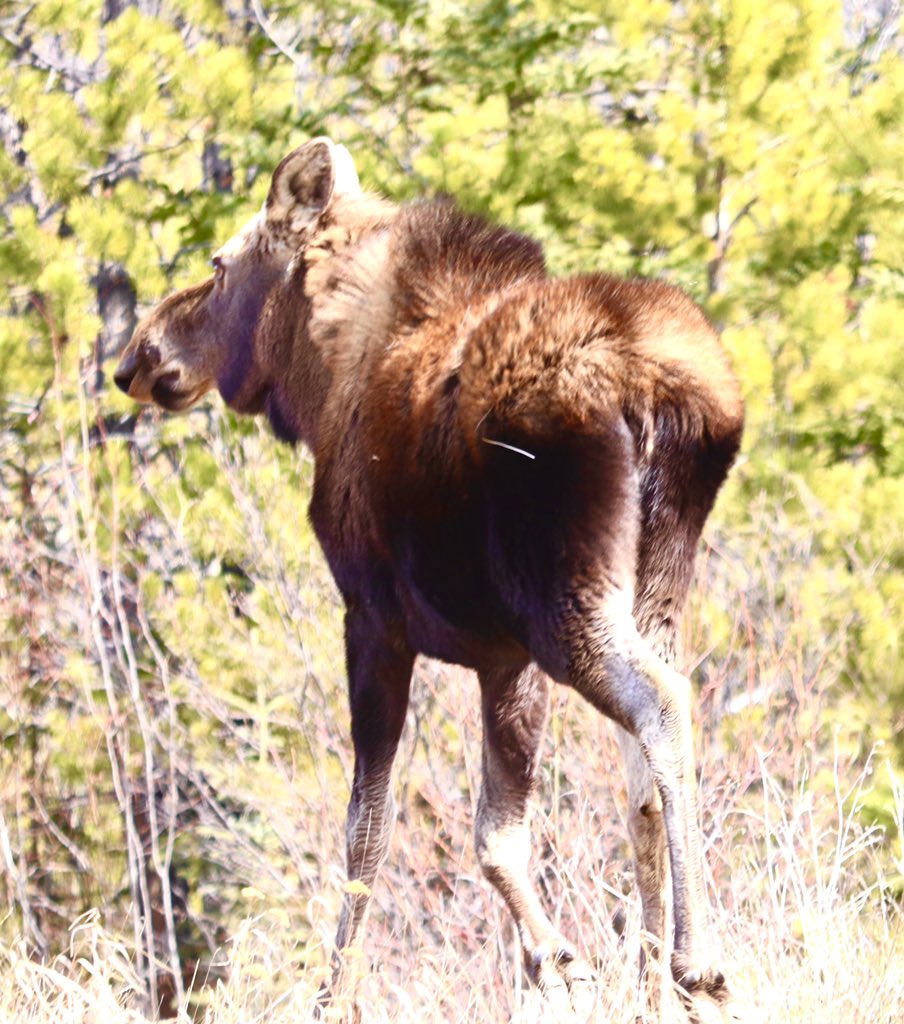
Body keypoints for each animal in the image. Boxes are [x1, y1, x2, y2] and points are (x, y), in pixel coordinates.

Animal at [114, 137, 745, 1019]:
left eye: (217, 264)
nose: (136, 357)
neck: (317, 385)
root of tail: (666, 393)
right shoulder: (505, 657)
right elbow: (498, 833)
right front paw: (562, 961)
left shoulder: (375, 621)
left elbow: (372, 831)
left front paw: (341, 992)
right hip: (652, 581)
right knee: (644, 771)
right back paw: (656, 977)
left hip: (563, 602)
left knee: (663, 701)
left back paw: (696, 959)